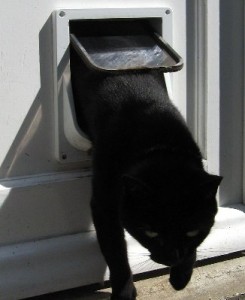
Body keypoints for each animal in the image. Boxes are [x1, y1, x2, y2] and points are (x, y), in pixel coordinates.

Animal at [69, 45, 222, 298]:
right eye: (151, 233)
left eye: (192, 232)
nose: (172, 257)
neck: (157, 143)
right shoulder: (103, 206)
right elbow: (116, 253)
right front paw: (124, 292)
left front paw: (181, 277)